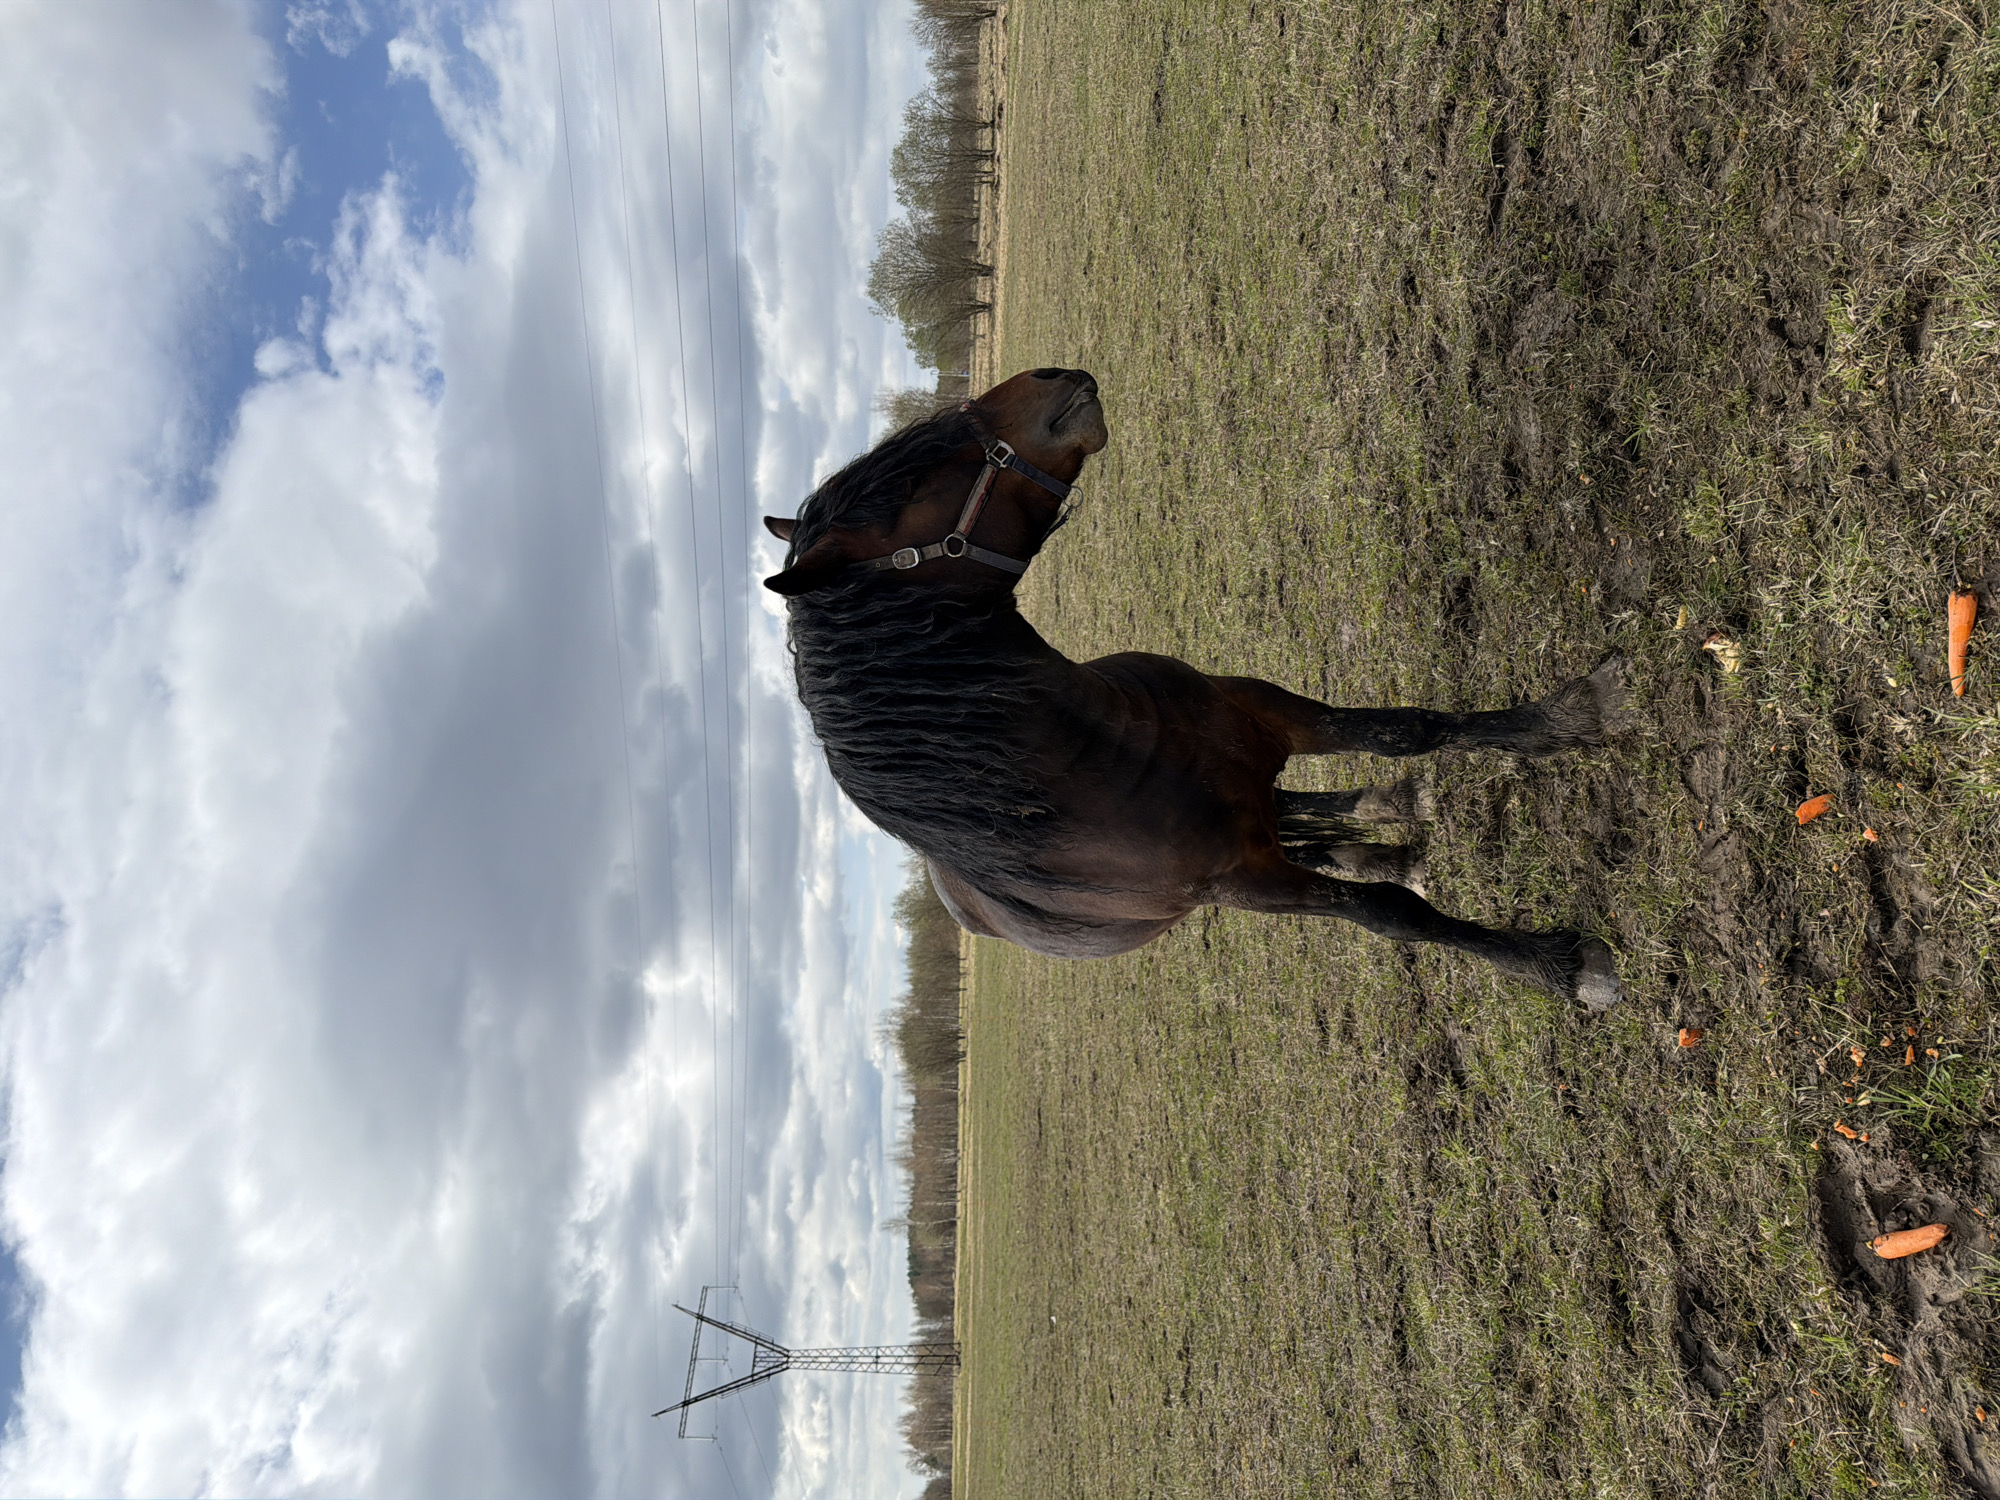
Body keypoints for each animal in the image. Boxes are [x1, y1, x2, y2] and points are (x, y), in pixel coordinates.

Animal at [764, 368, 1625, 1007]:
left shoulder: (1263, 710)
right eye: (923, 473)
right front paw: (1555, 966)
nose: (1054, 375)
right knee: (1308, 829)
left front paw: (1565, 717)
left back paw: (1387, 818)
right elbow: (1393, 916)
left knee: (1301, 807)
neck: (1104, 760)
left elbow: (1405, 729)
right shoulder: (1241, 883)